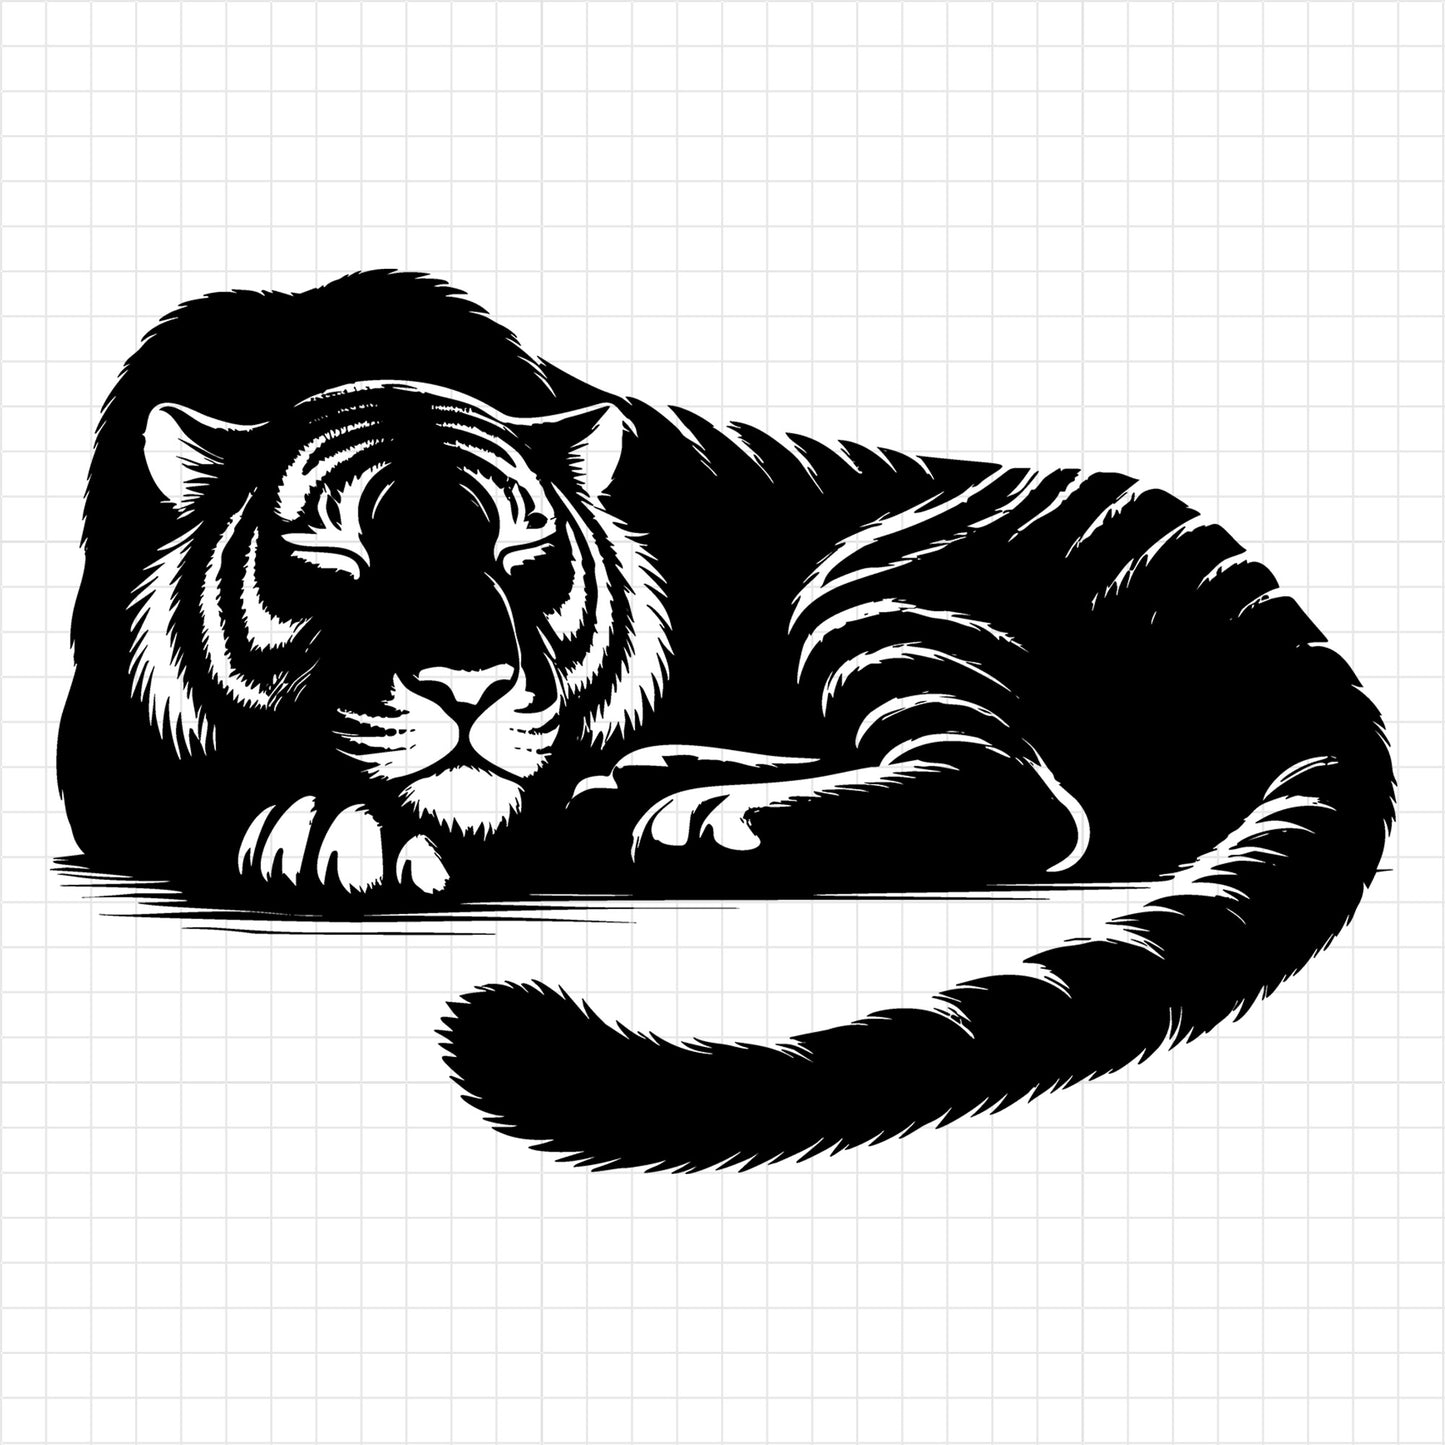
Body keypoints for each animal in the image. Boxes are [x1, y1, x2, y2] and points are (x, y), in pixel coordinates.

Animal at [61, 270, 1393, 1170]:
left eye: (523, 556)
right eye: (332, 559)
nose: (467, 685)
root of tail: (1266, 596)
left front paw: (354, 826)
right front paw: (330, 822)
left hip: (887, 578)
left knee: (1012, 793)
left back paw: (704, 818)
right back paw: (651, 780)